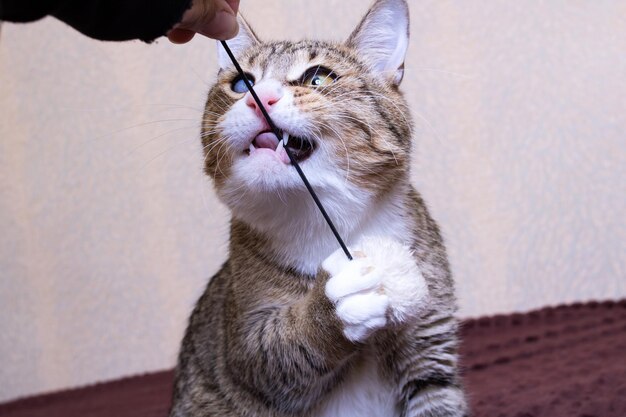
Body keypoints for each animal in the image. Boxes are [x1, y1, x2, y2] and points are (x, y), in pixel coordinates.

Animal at [168, 0, 466, 416]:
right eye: (242, 83)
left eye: (318, 78)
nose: (258, 97)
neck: (325, 220)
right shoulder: (245, 344)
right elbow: (277, 350)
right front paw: (331, 304)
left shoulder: (430, 350)